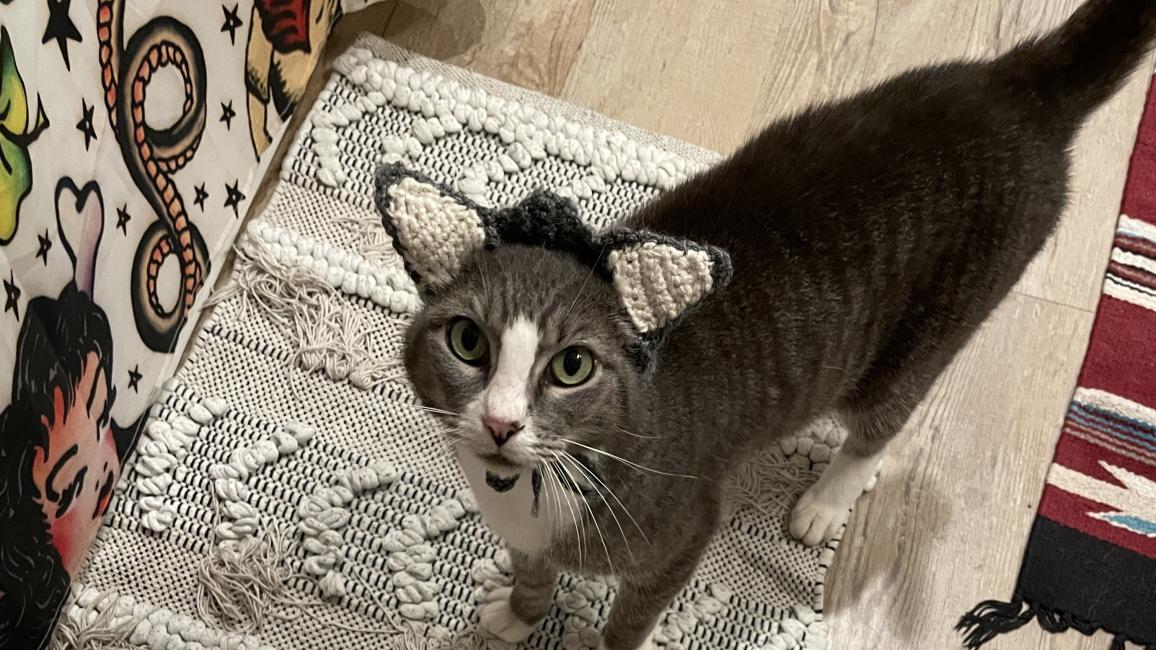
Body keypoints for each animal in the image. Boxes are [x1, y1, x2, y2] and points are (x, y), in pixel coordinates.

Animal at [374, 1, 1156, 647]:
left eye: (572, 366)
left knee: (885, 417)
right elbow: (532, 571)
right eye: (468, 342)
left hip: (933, 325)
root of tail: (1017, 83)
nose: (501, 422)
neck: (534, 487)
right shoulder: (524, 534)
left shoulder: (679, 536)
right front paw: (517, 613)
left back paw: (829, 499)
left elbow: (629, 622)